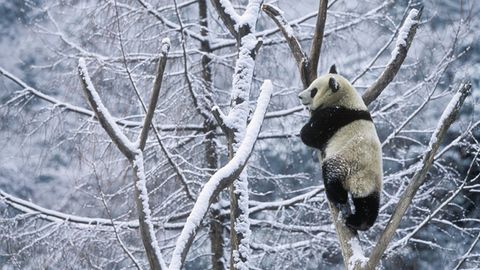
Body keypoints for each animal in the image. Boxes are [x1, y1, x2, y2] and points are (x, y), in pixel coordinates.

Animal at [300, 65, 382, 230]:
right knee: (368, 204)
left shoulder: (334, 116)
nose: (300, 97)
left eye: (313, 91)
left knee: (331, 177)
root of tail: (360, 180)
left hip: (343, 161)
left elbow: (310, 135)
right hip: (374, 182)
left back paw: (339, 199)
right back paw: (360, 222)